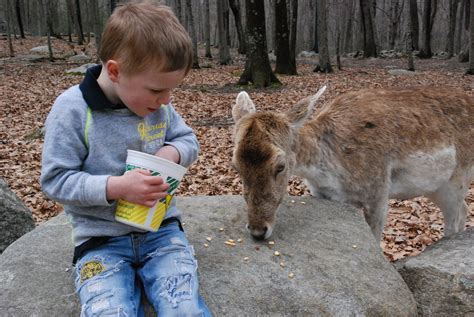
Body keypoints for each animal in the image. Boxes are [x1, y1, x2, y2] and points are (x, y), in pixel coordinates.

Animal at [231, 85, 472, 241]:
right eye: (236, 166)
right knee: (465, 209)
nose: (257, 230)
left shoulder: (378, 190)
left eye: (280, 166)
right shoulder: (322, 194)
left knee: (456, 216)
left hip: (459, 177)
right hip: (435, 187)